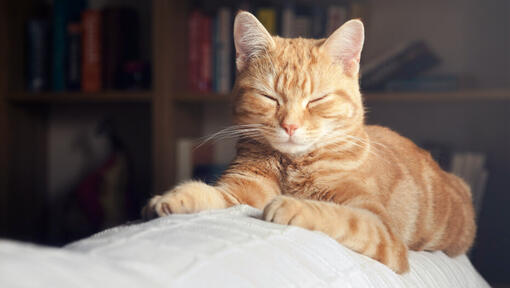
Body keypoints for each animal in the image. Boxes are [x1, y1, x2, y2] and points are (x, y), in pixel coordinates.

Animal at [142, 10, 474, 272]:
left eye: (317, 100)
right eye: (269, 97)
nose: (290, 125)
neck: (294, 164)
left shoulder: (382, 230)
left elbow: (339, 216)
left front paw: (293, 206)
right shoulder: (242, 190)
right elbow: (215, 196)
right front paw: (175, 198)